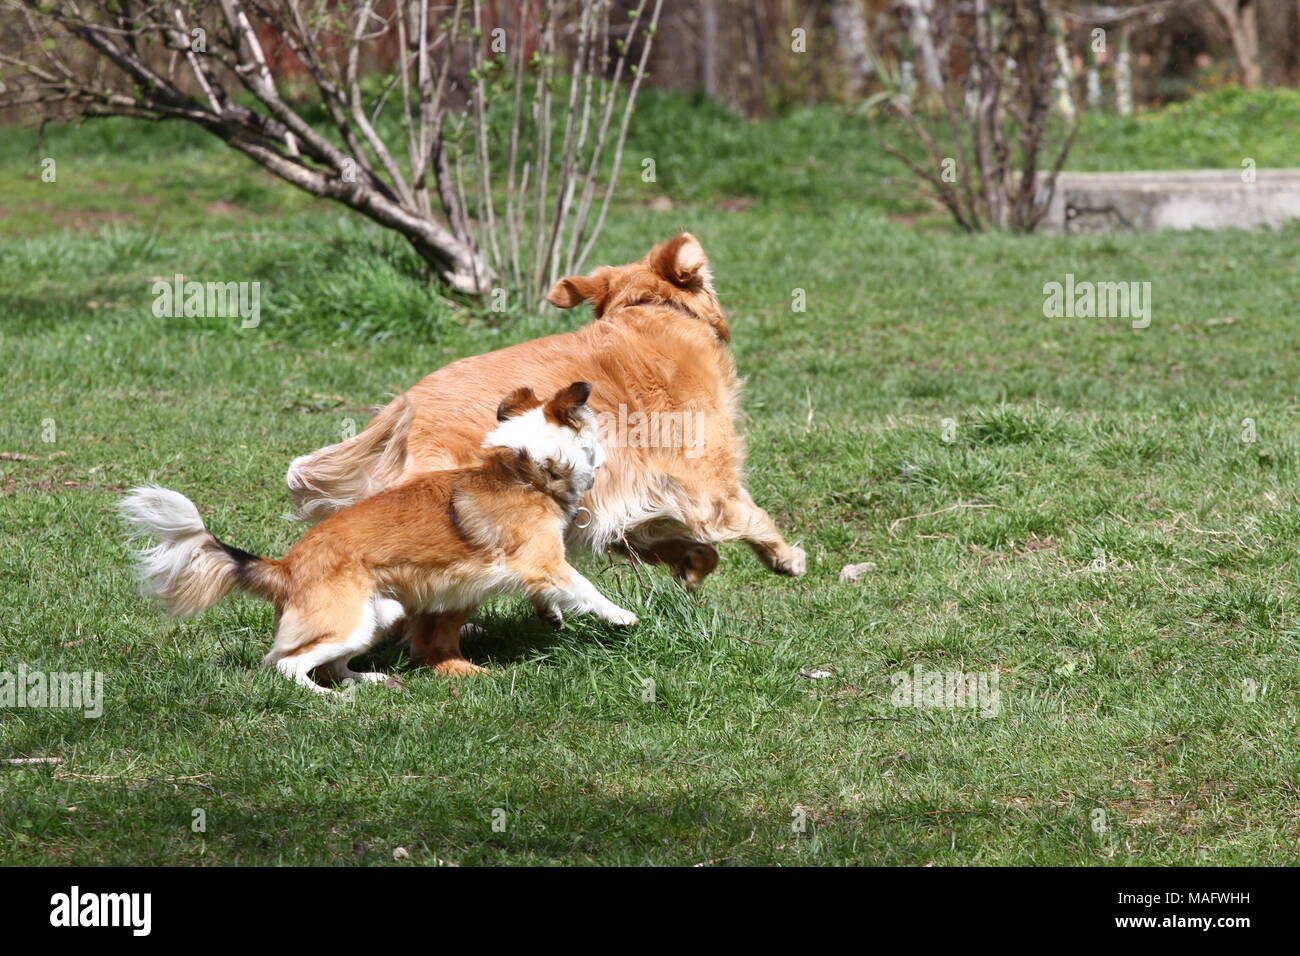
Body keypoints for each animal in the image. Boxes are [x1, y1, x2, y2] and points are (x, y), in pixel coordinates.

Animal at [119, 382, 637, 697]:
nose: (609, 460)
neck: (526, 469)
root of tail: (284, 567)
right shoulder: (542, 560)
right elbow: (585, 587)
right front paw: (622, 617)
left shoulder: (535, 566)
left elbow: (551, 592)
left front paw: (553, 614)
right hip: (347, 621)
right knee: (286, 665)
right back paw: (327, 698)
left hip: (378, 614)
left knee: (332, 664)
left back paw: (370, 680)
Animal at [287, 231, 800, 650]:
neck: (650, 309)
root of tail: (406, 414)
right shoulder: (709, 484)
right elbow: (751, 518)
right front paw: (786, 558)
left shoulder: (621, 506)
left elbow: (678, 545)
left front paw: (692, 566)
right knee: (432, 634)